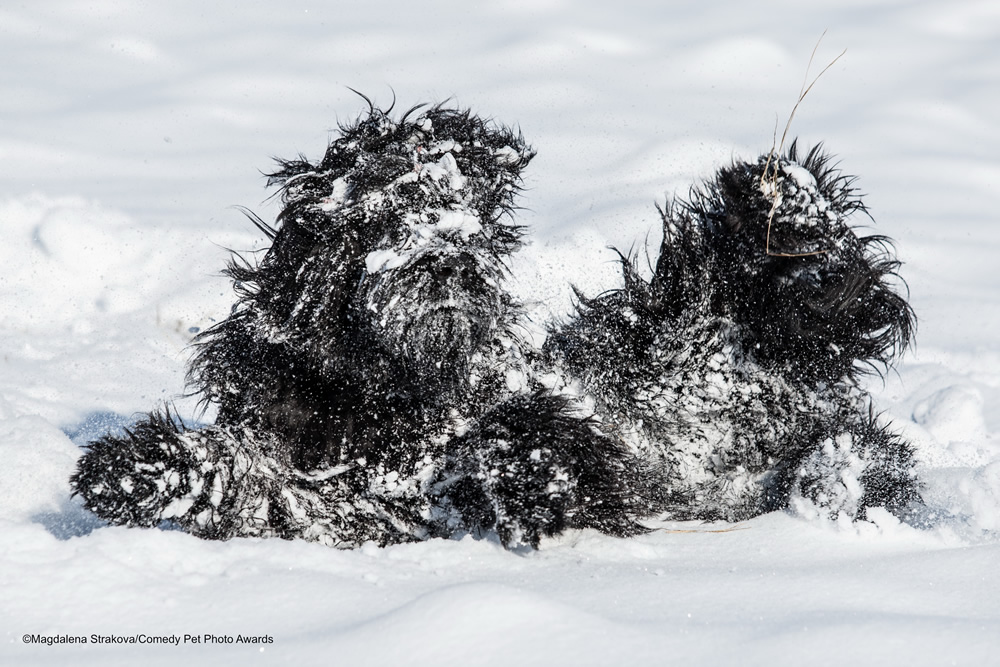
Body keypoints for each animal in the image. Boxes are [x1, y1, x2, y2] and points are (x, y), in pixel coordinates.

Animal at [70, 104, 920, 552]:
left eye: (462, 204)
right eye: (387, 203)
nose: (450, 258)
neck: (373, 390)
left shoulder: (520, 402)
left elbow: (520, 428)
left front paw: (535, 481)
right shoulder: (352, 501)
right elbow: (244, 478)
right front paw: (128, 469)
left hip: (673, 320)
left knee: (790, 290)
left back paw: (784, 202)